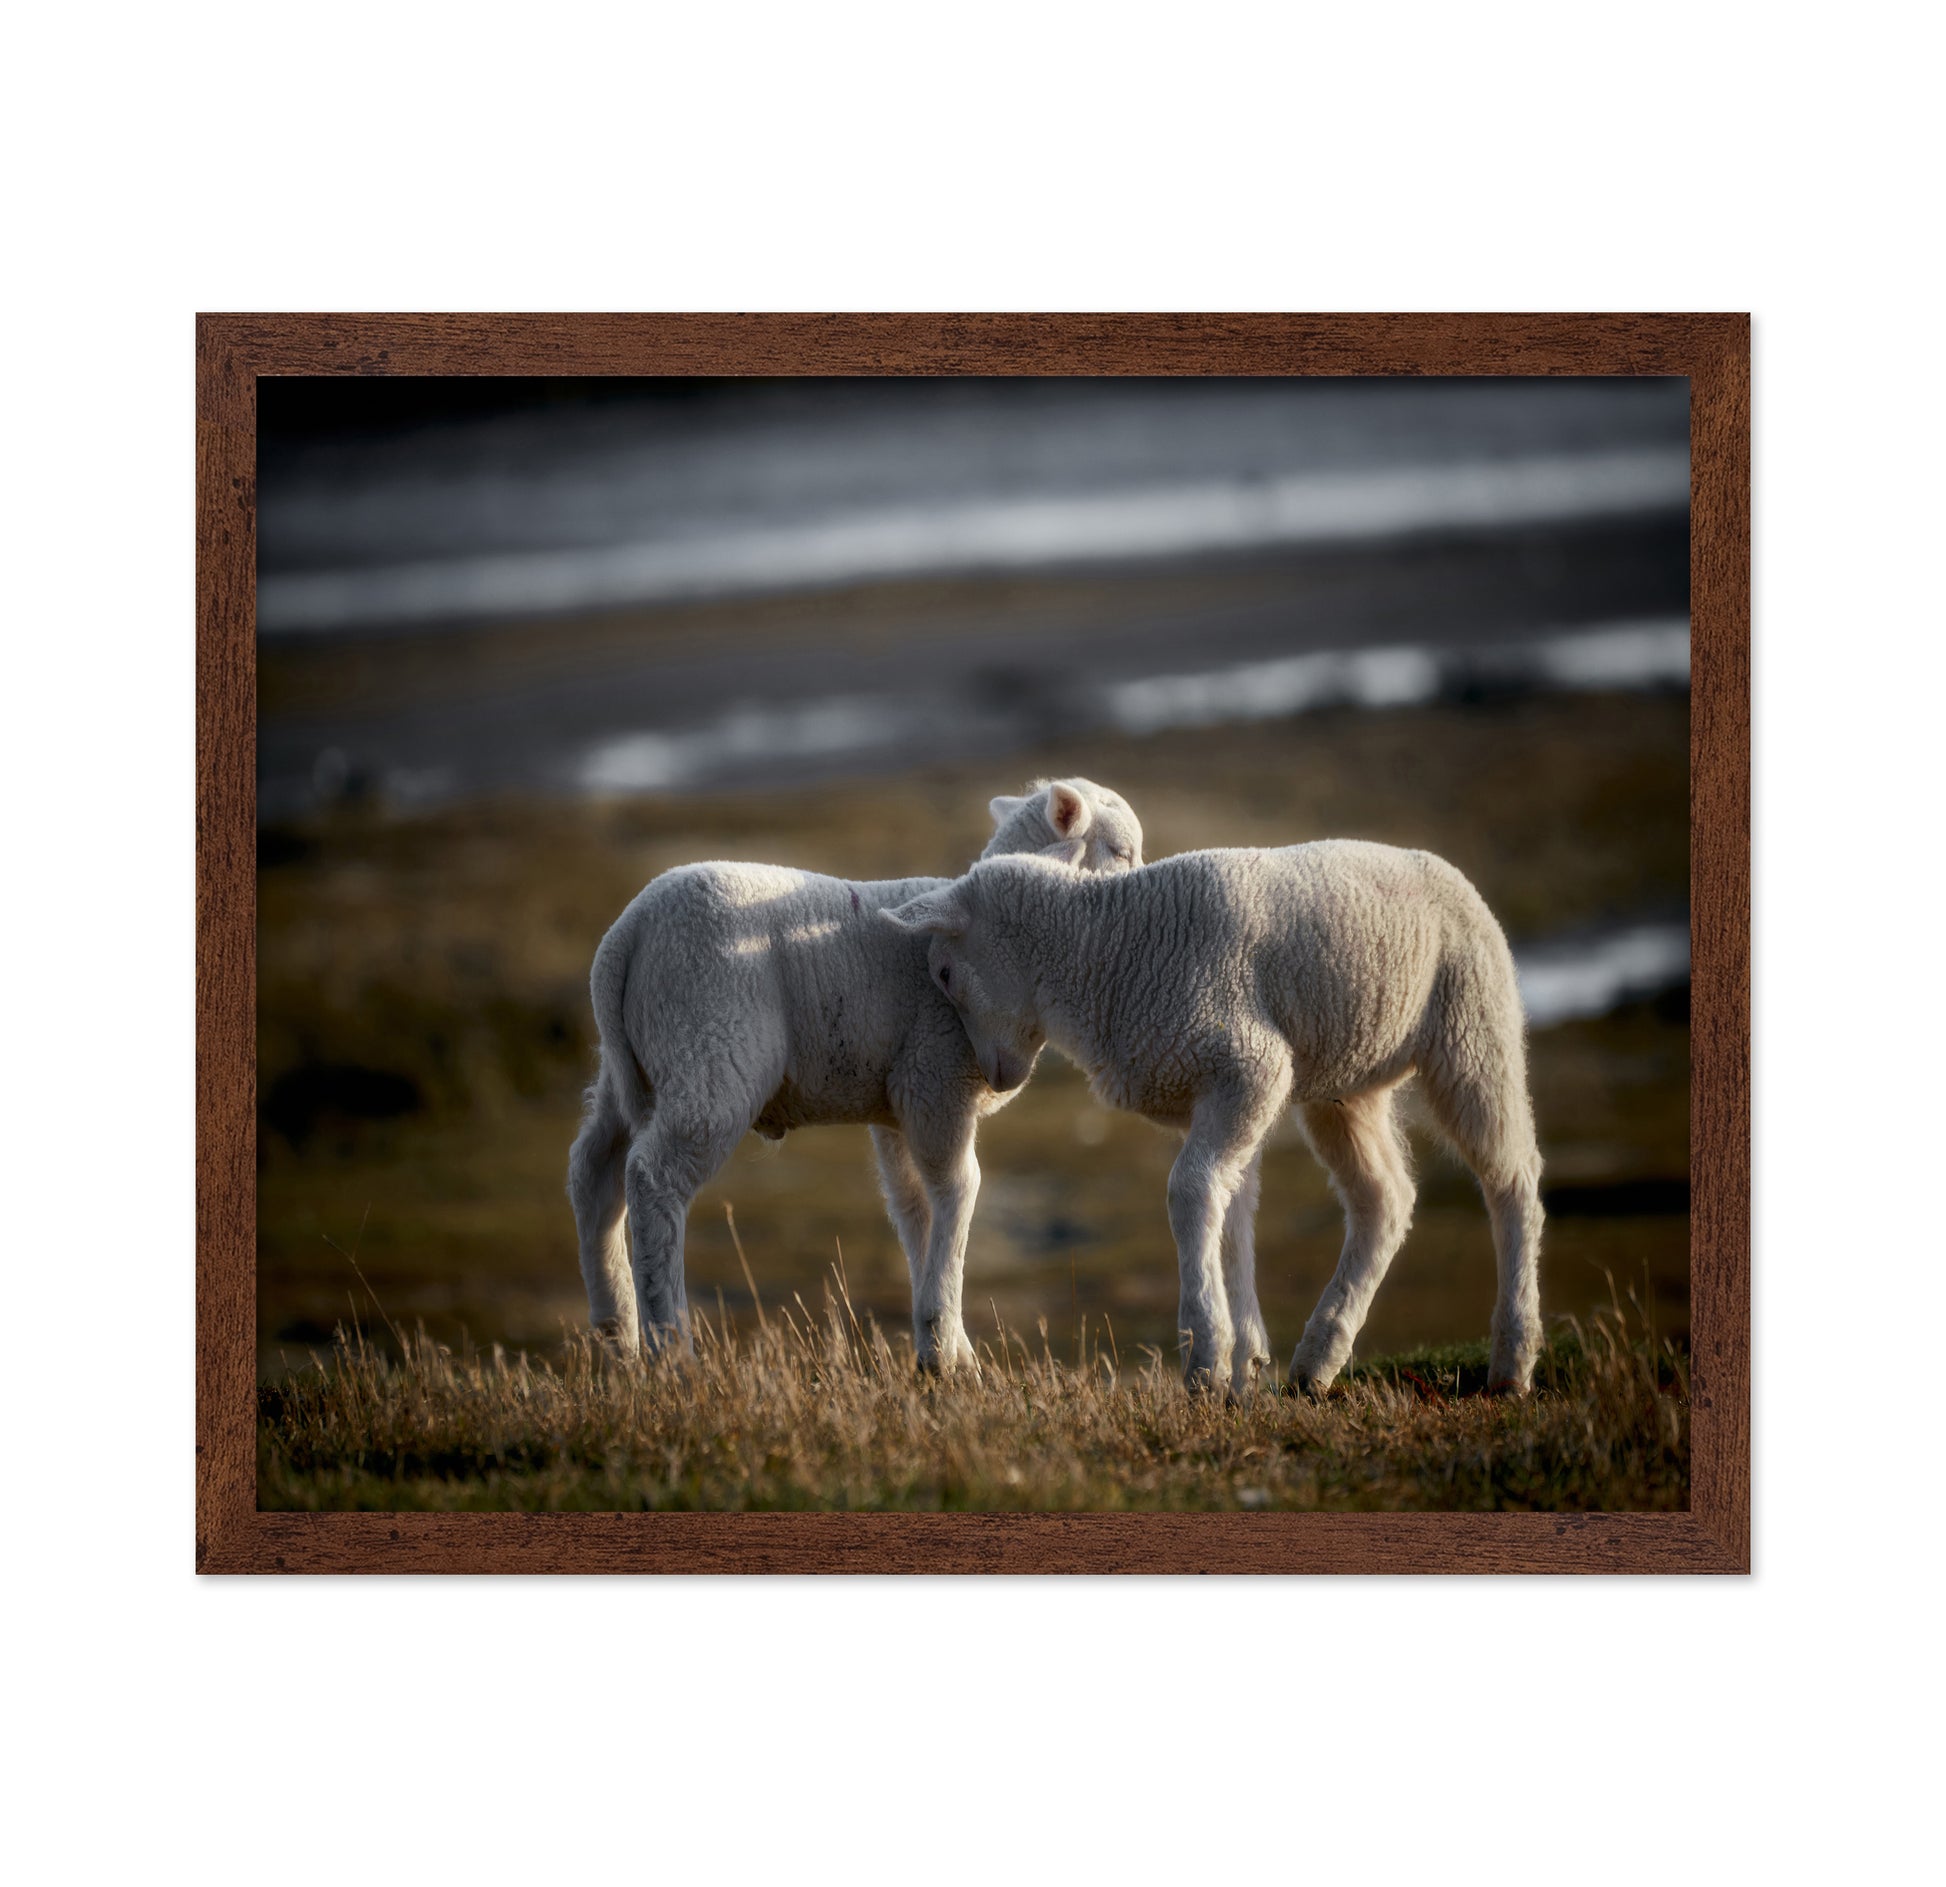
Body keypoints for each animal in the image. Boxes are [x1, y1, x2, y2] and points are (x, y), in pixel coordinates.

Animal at [567, 779, 1144, 1371]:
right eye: (1122, 852)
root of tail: (627, 934)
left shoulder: (897, 1105)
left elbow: (913, 1208)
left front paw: (949, 1348)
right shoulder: (935, 1080)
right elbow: (959, 1190)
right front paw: (944, 1345)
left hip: (636, 1066)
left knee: (594, 1171)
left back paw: (615, 1332)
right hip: (711, 1050)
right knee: (653, 1177)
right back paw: (672, 1350)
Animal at [882, 840, 1545, 1396]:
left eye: (945, 972)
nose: (994, 1081)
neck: (1105, 953)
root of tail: (1443, 867)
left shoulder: (1251, 1065)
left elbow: (1191, 1191)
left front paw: (1205, 1358)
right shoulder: (1209, 1091)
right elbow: (1230, 1209)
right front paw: (1242, 1362)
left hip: (1472, 1027)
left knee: (1512, 1181)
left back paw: (1512, 1360)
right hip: (1346, 1083)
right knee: (1385, 1197)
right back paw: (1318, 1359)